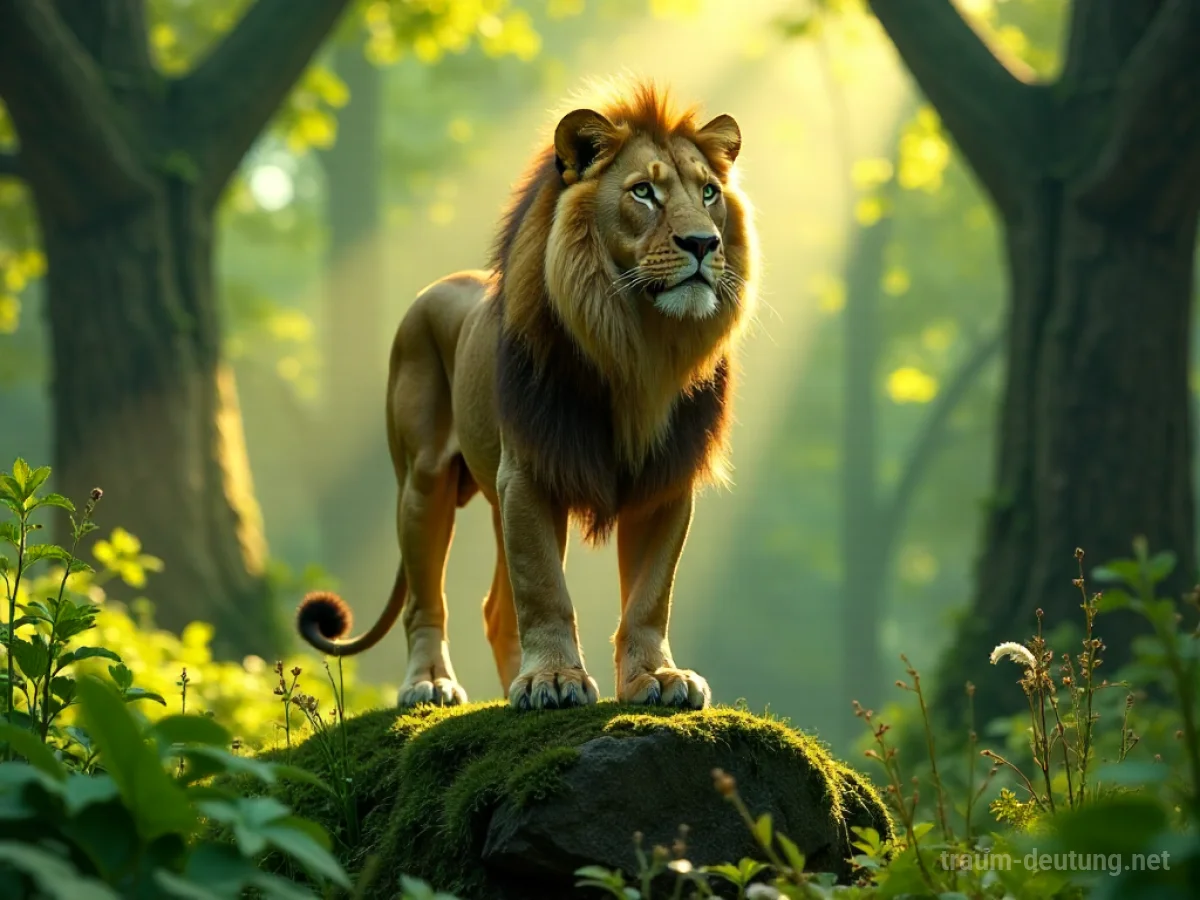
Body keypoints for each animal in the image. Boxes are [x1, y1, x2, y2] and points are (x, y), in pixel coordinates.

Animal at [296, 79, 757, 711]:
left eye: (709, 192)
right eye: (644, 191)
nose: (704, 243)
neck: (638, 345)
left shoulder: (666, 479)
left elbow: (649, 596)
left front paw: (657, 678)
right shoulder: (532, 469)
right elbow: (543, 588)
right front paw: (555, 679)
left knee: (496, 609)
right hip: (423, 480)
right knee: (425, 600)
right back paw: (431, 683)